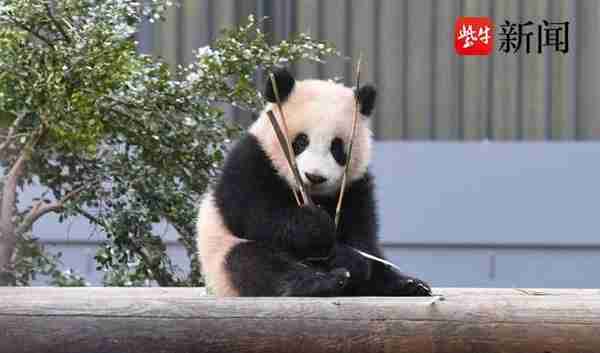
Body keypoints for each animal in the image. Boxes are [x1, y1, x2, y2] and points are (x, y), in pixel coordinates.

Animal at [197, 67, 432, 296]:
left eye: (337, 147)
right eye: (301, 141)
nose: (315, 177)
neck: (314, 195)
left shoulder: (355, 183)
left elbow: (361, 230)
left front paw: (347, 257)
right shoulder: (252, 160)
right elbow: (254, 214)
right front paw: (315, 225)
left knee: (378, 263)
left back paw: (407, 285)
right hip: (223, 255)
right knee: (255, 263)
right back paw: (321, 283)